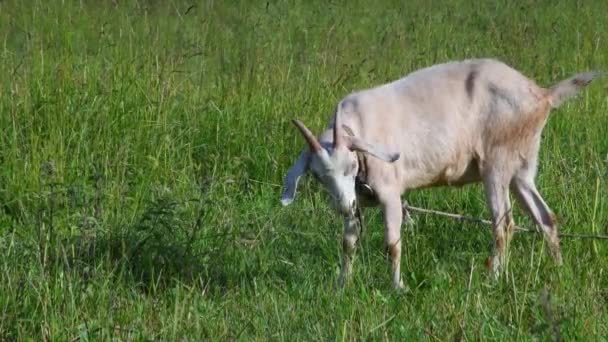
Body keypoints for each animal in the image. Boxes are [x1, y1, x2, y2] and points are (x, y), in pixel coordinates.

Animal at [282, 58, 600, 288]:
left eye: (350, 166)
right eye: (318, 176)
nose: (342, 206)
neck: (360, 129)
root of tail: (542, 95)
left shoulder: (390, 194)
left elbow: (392, 244)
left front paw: (397, 287)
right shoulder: (357, 199)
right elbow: (348, 243)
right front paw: (342, 285)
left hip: (497, 162)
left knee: (504, 224)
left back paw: (493, 278)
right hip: (522, 167)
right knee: (545, 218)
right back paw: (557, 269)